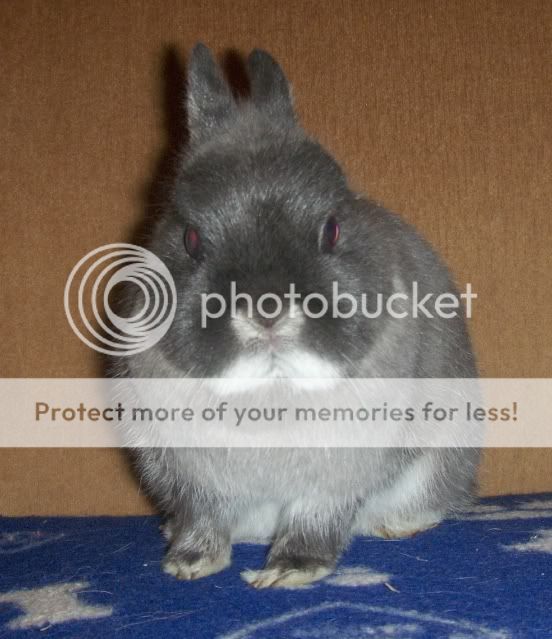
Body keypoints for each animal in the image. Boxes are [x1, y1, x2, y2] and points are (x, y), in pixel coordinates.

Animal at [115, 42, 478, 588]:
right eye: (191, 238)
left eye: (331, 229)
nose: (267, 310)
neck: (272, 390)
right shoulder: (191, 475)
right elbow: (205, 517)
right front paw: (189, 563)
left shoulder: (336, 478)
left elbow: (316, 518)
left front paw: (290, 571)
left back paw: (401, 523)